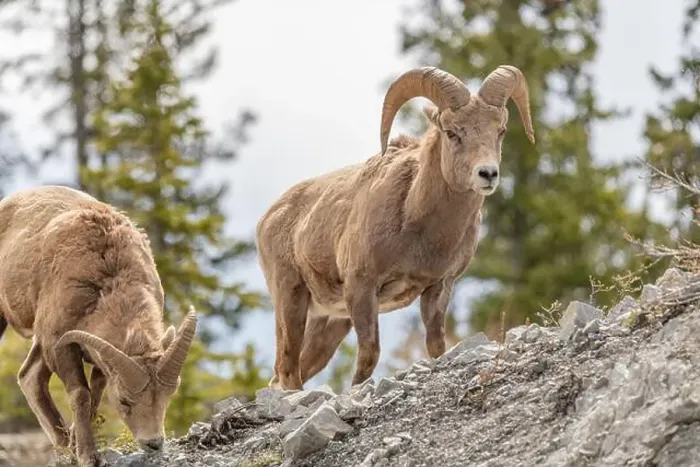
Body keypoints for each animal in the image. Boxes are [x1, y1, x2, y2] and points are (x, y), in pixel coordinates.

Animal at [0, 185, 198, 467]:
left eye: (167, 397)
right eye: (124, 401)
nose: (153, 443)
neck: (106, 279)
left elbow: (94, 394)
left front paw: (76, 447)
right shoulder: (60, 344)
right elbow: (81, 395)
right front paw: (87, 456)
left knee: (30, 376)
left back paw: (63, 446)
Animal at [256, 65, 534, 390]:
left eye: (500, 131)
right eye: (452, 132)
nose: (487, 174)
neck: (419, 226)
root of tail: (269, 217)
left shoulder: (438, 287)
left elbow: (436, 346)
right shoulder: (362, 287)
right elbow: (368, 357)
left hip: (330, 322)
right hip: (291, 298)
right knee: (287, 370)